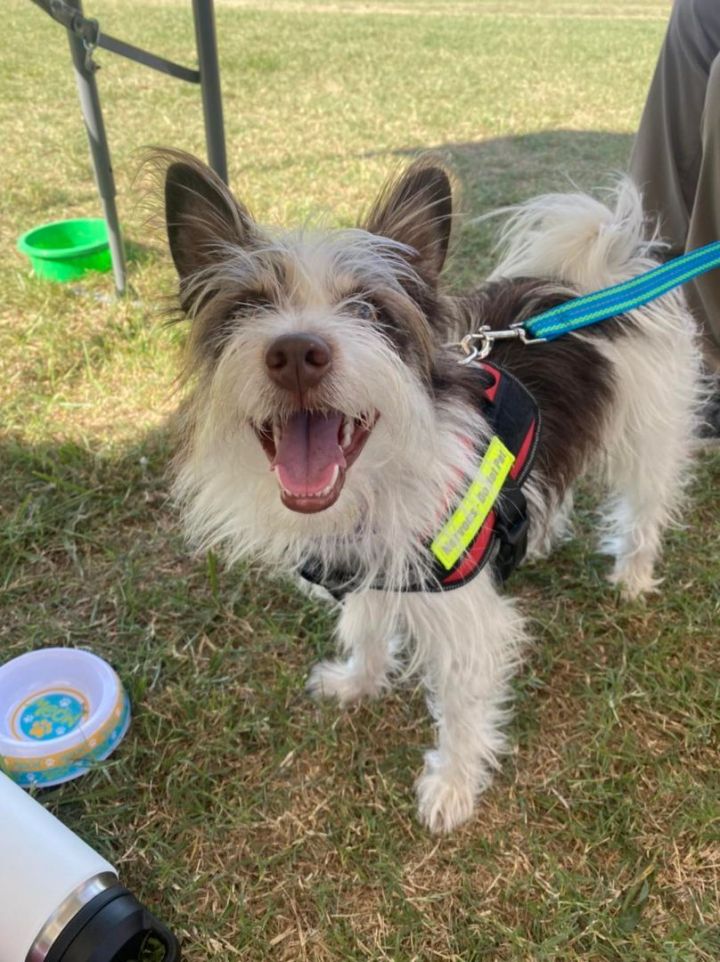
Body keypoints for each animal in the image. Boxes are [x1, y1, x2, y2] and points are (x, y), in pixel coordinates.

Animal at [163, 154, 704, 828]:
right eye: (248, 306)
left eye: (369, 310)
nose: (294, 351)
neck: (374, 484)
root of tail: (591, 279)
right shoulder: (369, 569)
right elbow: (366, 627)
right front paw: (358, 682)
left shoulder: (468, 619)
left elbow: (463, 705)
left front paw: (452, 785)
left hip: (650, 435)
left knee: (645, 505)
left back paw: (632, 575)